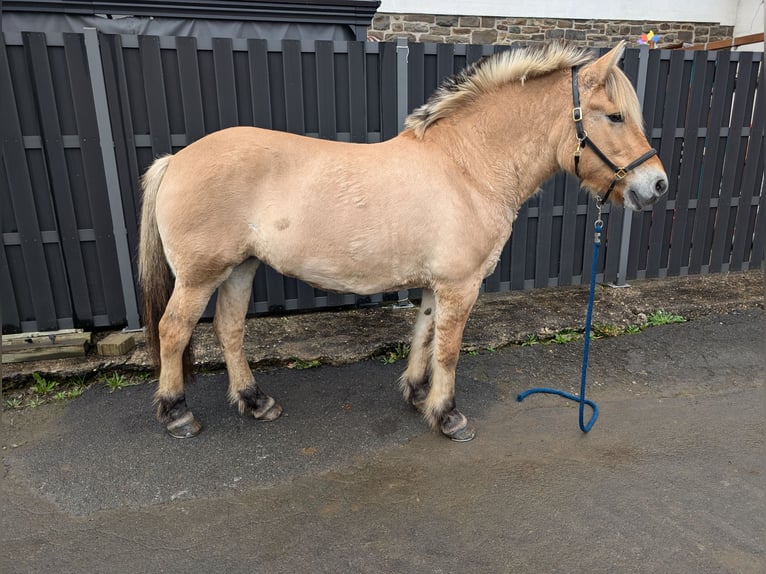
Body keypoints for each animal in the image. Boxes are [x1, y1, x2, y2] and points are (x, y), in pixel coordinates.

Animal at [141, 41, 668, 440]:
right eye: (614, 116)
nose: (657, 185)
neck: (468, 167)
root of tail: (175, 160)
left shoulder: (439, 284)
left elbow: (425, 335)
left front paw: (418, 396)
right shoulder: (461, 284)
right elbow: (449, 349)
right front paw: (448, 415)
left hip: (240, 267)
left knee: (229, 329)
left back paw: (255, 401)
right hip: (200, 275)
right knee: (174, 330)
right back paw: (177, 413)